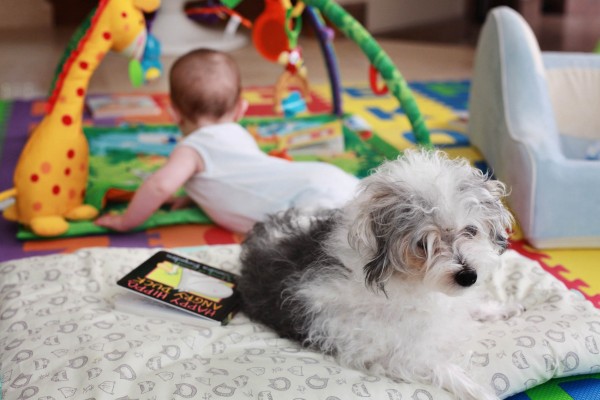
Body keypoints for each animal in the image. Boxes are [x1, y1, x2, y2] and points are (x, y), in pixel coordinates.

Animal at [238, 149, 520, 400]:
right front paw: (480, 391)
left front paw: (501, 309)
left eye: (470, 230)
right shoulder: (394, 354)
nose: (468, 276)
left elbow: (470, 307)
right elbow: (444, 369)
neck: (411, 283)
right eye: (422, 244)